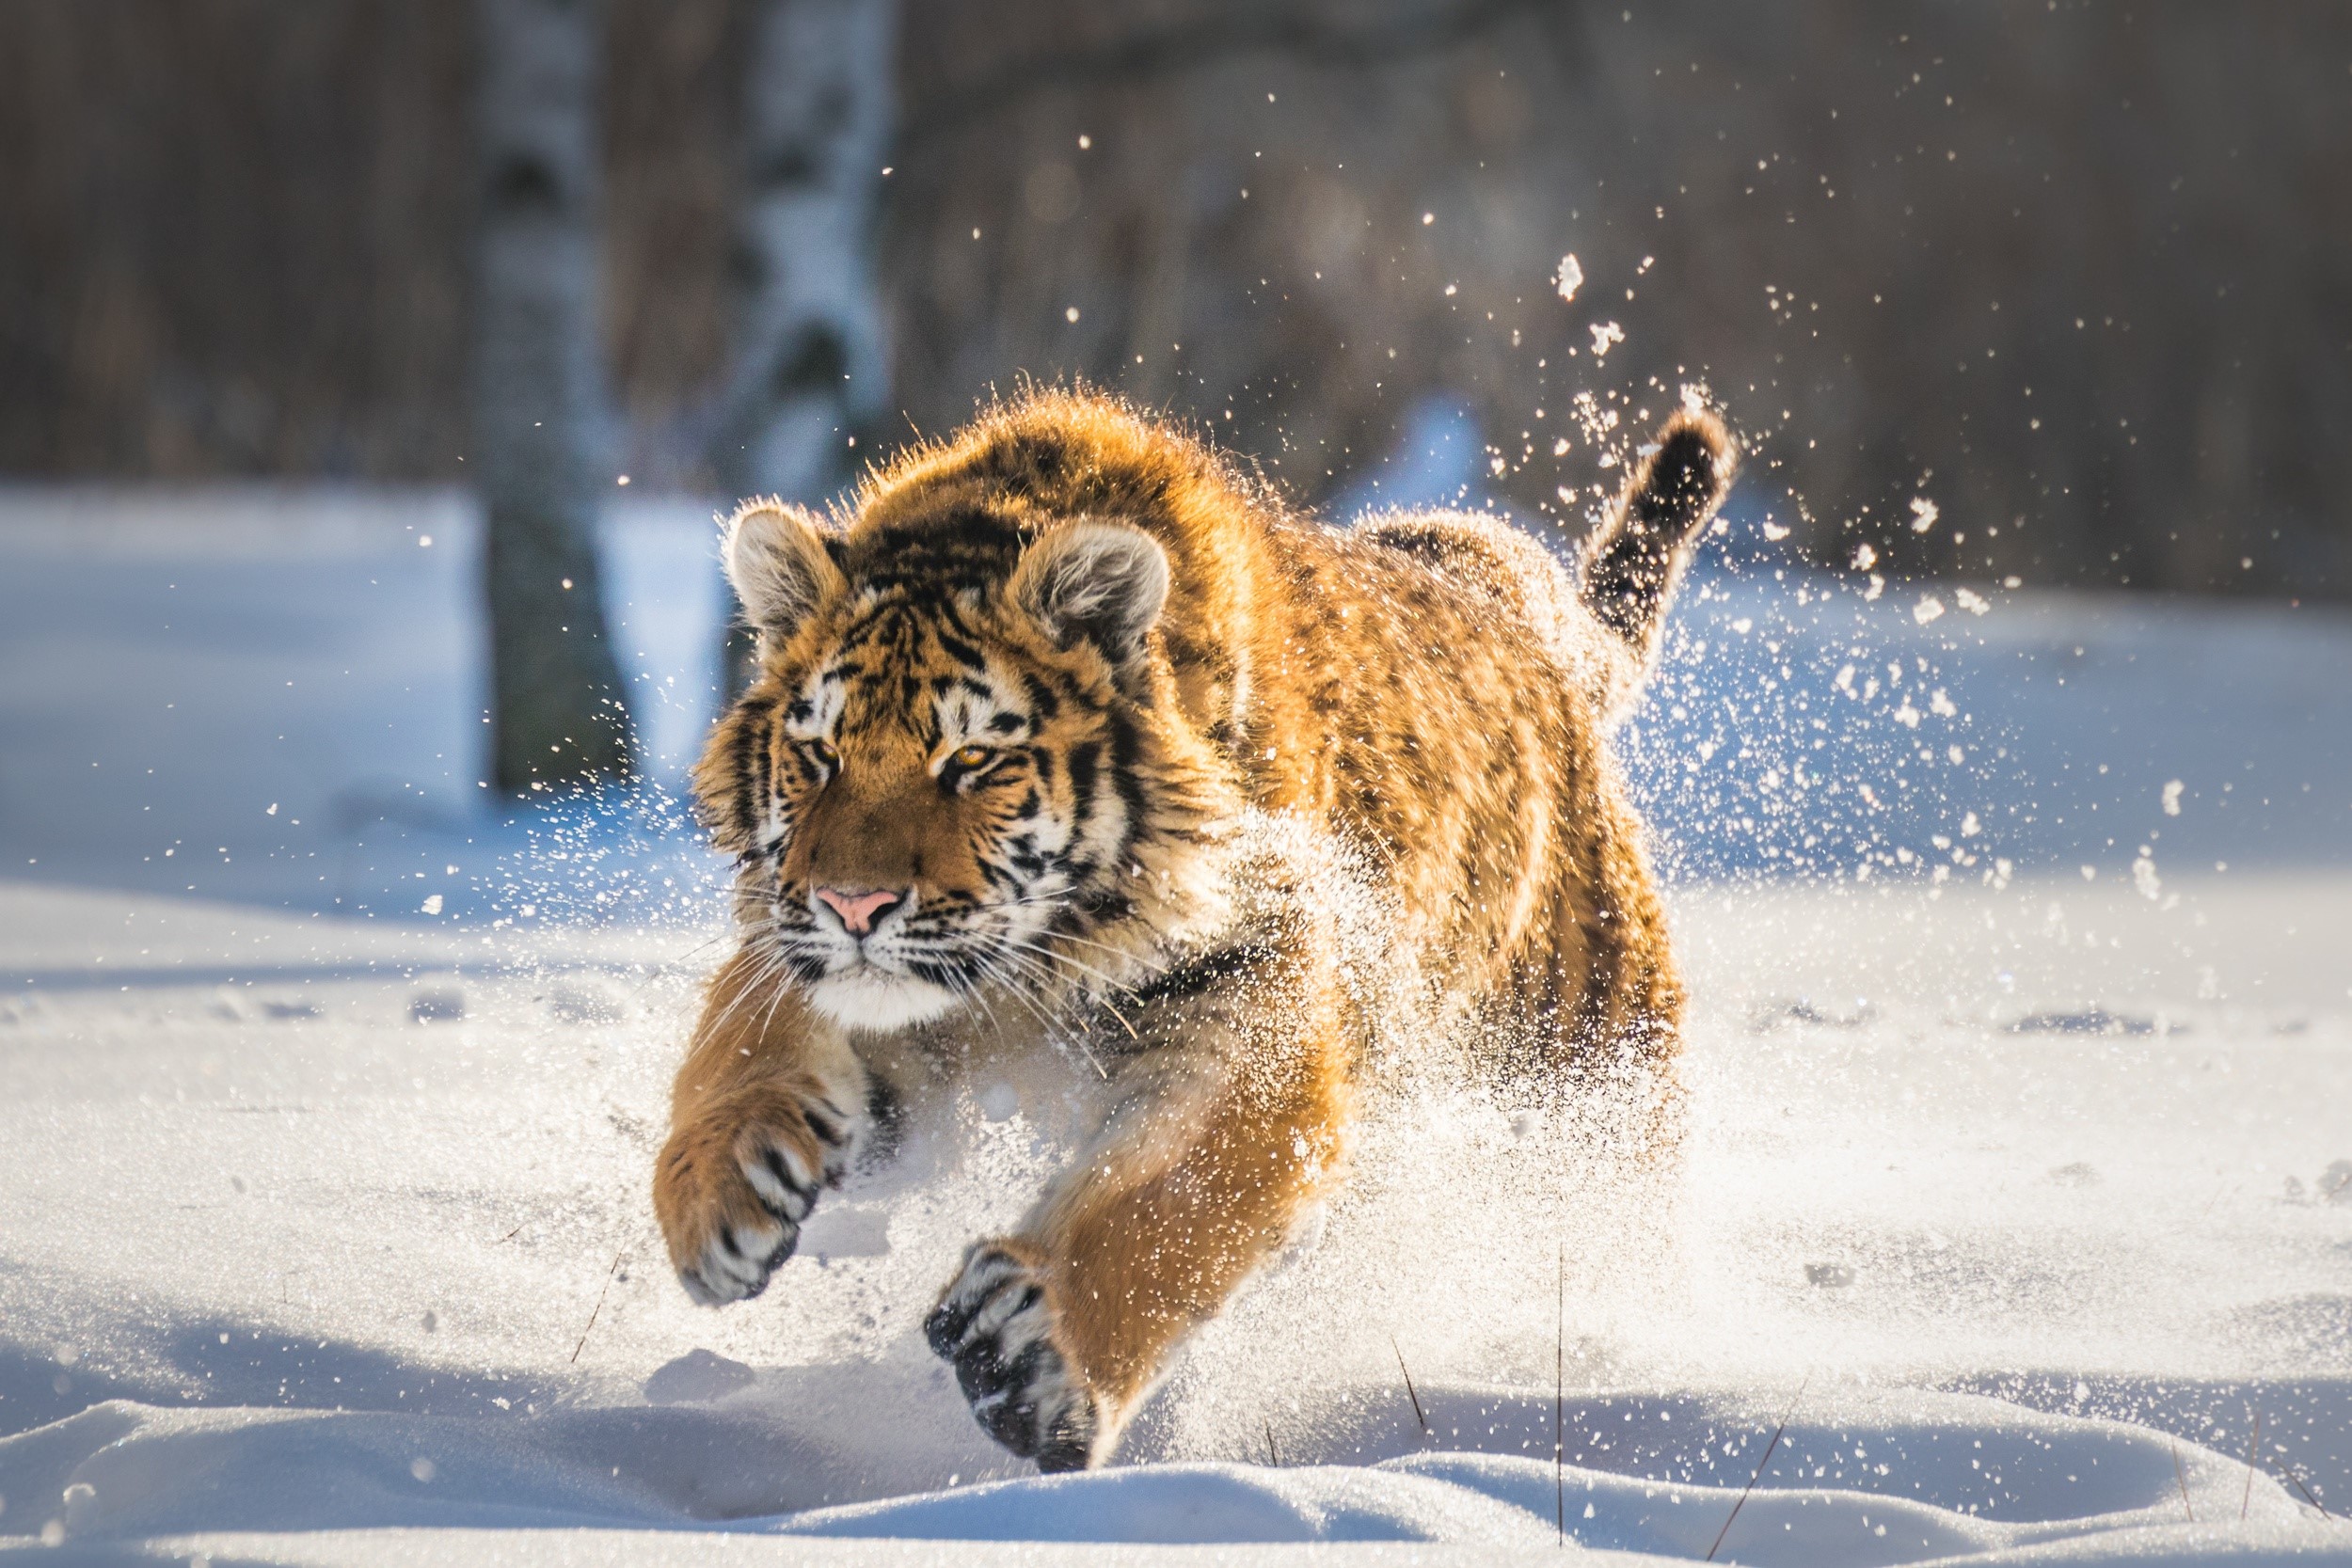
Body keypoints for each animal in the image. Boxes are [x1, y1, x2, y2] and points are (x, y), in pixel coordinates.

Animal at [652, 389, 1734, 1472]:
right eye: (818, 753)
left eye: (971, 760)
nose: (854, 905)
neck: (1030, 969)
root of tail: (1524, 610)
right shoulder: (830, 963)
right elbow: (740, 1038)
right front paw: (716, 1195)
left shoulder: (1254, 1015)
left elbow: (1168, 1203)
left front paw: (1032, 1355)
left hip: (1588, 1083)